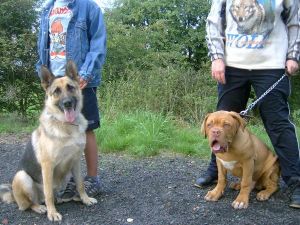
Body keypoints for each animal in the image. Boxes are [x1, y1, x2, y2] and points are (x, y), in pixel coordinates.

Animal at [0, 60, 96, 221]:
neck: (66, 125)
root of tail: (13, 195)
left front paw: (85, 199)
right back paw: (40, 207)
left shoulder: (76, 161)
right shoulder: (47, 165)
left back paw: (60, 199)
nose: (67, 103)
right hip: (22, 177)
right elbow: (48, 193)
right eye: (56, 91)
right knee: (29, 203)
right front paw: (52, 213)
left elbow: (80, 184)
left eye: (71, 87)